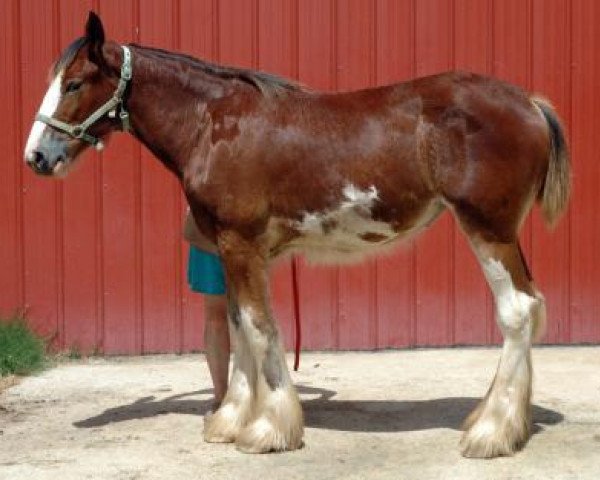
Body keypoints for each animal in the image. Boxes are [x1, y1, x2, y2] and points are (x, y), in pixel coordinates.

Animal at [24, 13, 572, 460]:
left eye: (74, 84)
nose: (37, 157)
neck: (212, 123)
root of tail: (529, 103)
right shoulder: (233, 250)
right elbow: (239, 326)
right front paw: (230, 420)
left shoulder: (241, 245)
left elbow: (260, 328)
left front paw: (268, 429)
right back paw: (495, 421)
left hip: (488, 229)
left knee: (518, 311)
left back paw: (491, 433)